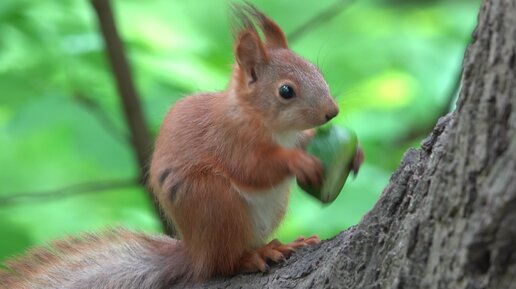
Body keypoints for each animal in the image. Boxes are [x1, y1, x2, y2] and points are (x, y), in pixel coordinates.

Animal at [0, 2, 350, 288]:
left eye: (316, 69)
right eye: (286, 91)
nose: (332, 111)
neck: (271, 126)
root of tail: (195, 253)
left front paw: (349, 153)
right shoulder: (228, 140)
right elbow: (252, 169)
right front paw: (299, 162)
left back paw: (284, 244)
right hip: (214, 202)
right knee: (223, 263)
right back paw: (254, 256)